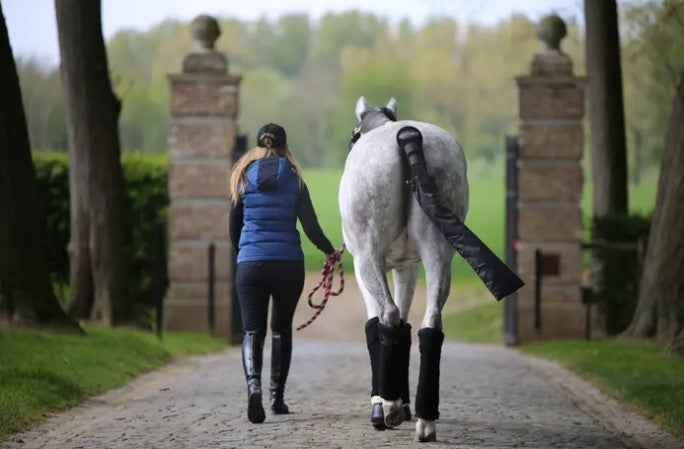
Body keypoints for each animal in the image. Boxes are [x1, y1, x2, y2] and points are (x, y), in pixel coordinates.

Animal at [340, 95, 468, 440]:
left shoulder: (364, 267)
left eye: (353, 135)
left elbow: (377, 324)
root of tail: (408, 136)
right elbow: (405, 328)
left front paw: (382, 403)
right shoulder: (406, 268)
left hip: (368, 257)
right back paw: (425, 420)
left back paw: (391, 406)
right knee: (430, 323)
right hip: (439, 254)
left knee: (388, 315)